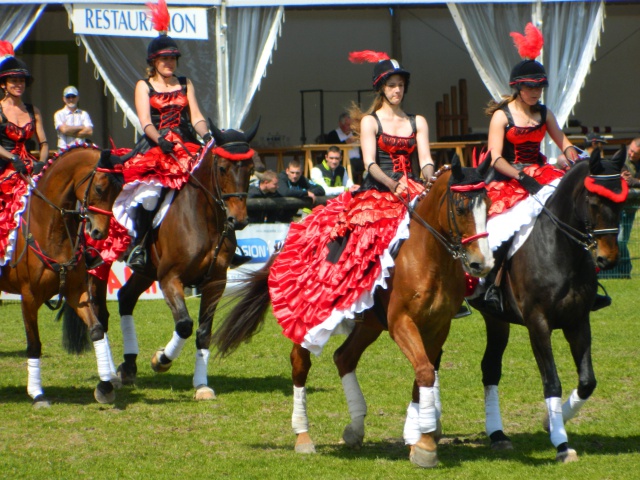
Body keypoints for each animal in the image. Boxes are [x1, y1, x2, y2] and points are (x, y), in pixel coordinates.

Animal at [0, 144, 124, 406]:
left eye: (119, 190)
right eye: (99, 188)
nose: (99, 233)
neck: (49, 228)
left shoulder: (76, 292)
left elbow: (96, 330)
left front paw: (105, 387)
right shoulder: (29, 298)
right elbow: (34, 345)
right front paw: (37, 394)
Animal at [62, 122, 260, 400]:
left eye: (251, 169)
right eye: (222, 168)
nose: (238, 220)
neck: (206, 218)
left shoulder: (215, 282)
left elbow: (204, 333)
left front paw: (201, 385)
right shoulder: (170, 278)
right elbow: (185, 325)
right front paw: (161, 360)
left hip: (146, 270)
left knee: (126, 298)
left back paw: (128, 366)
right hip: (100, 263)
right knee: (101, 313)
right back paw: (111, 377)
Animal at [212, 158, 492, 468]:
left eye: (488, 206)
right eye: (461, 208)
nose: (482, 263)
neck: (428, 256)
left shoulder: (438, 326)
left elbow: (423, 374)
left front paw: (420, 439)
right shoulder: (401, 322)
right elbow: (425, 371)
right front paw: (425, 445)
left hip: (369, 324)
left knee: (344, 357)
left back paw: (356, 429)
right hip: (306, 319)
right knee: (300, 364)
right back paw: (303, 437)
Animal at [468, 149, 628, 462]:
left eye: (622, 202)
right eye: (593, 202)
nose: (608, 259)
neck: (560, 248)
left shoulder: (578, 321)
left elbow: (587, 381)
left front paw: (550, 421)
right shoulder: (538, 323)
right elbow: (551, 381)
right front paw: (561, 443)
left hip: (497, 319)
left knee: (490, 367)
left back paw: (498, 435)